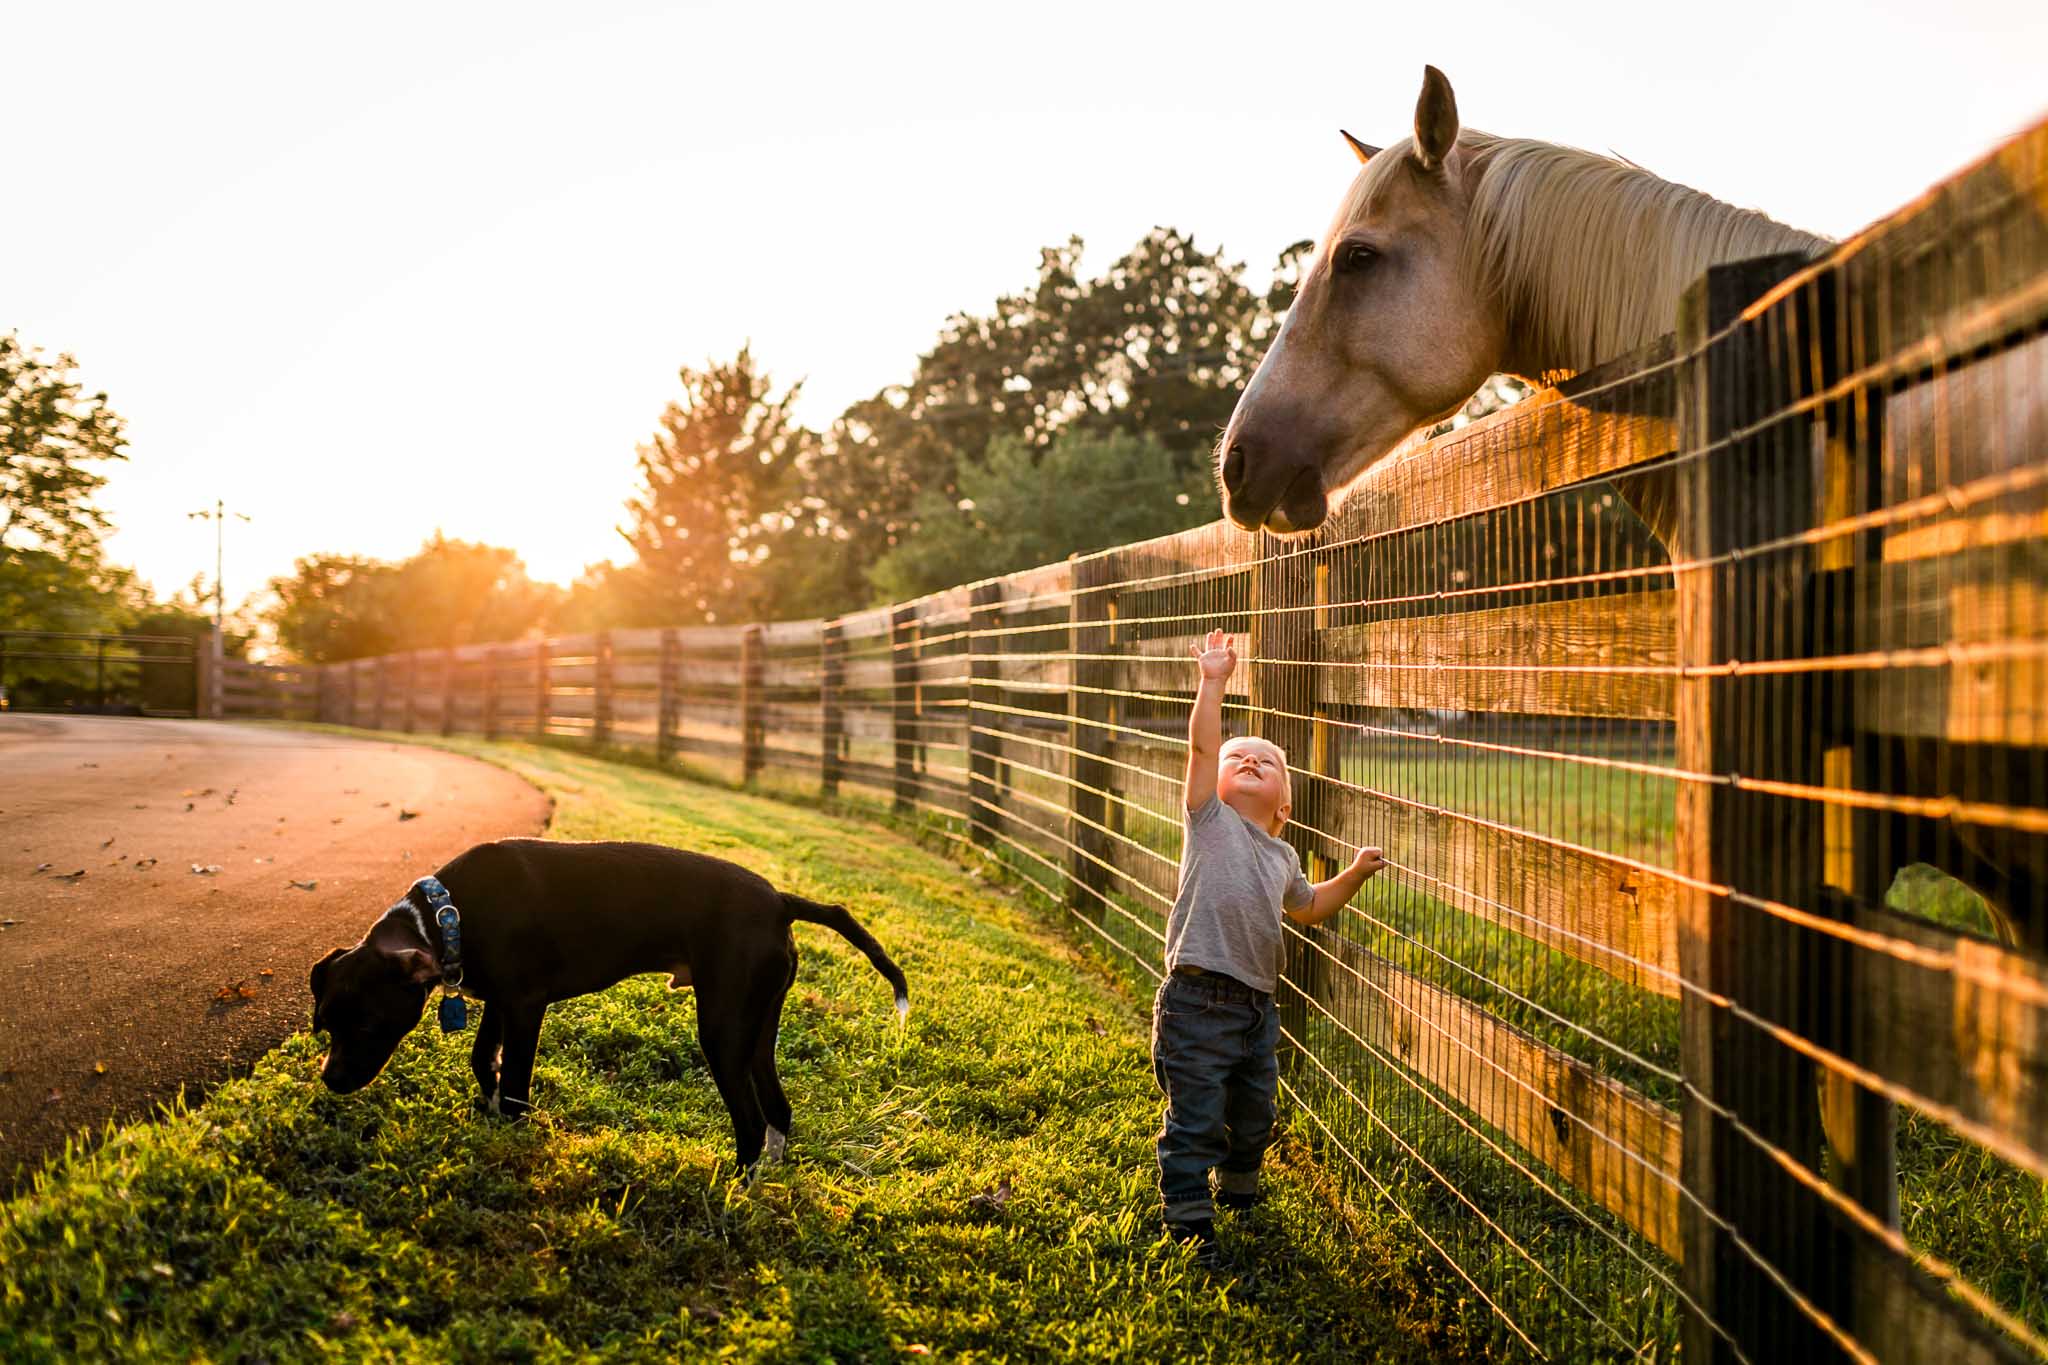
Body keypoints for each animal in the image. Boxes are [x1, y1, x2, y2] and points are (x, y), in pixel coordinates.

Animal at [307, 839, 909, 1170]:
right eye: (325, 1024)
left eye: (368, 1024)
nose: (331, 1081)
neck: (446, 915)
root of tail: (781, 900)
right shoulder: (500, 1002)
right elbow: (483, 1060)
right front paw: (489, 1108)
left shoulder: (525, 1006)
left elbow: (517, 1081)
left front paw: (510, 1133)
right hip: (756, 1029)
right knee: (778, 1112)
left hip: (722, 1031)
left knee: (751, 1120)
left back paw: (731, 1194)